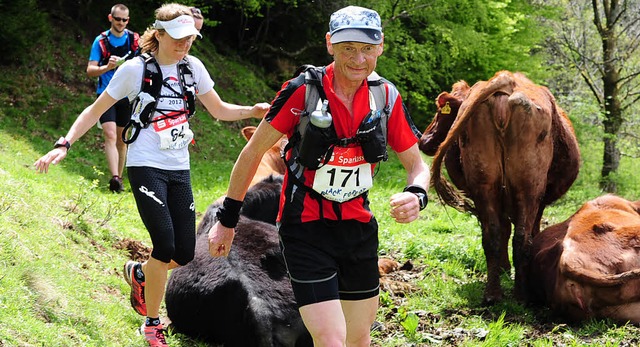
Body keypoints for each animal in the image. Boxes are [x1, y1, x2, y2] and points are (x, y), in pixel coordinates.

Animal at [424, 71, 580, 304]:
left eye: (439, 112)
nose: (423, 140)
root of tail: (507, 79)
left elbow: (503, 229)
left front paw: (504, 268)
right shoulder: (538, 201)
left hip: (484, 185)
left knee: (492, 236)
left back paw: (493, 293)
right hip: (528, 189)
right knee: (522, 238)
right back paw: (521, 295)